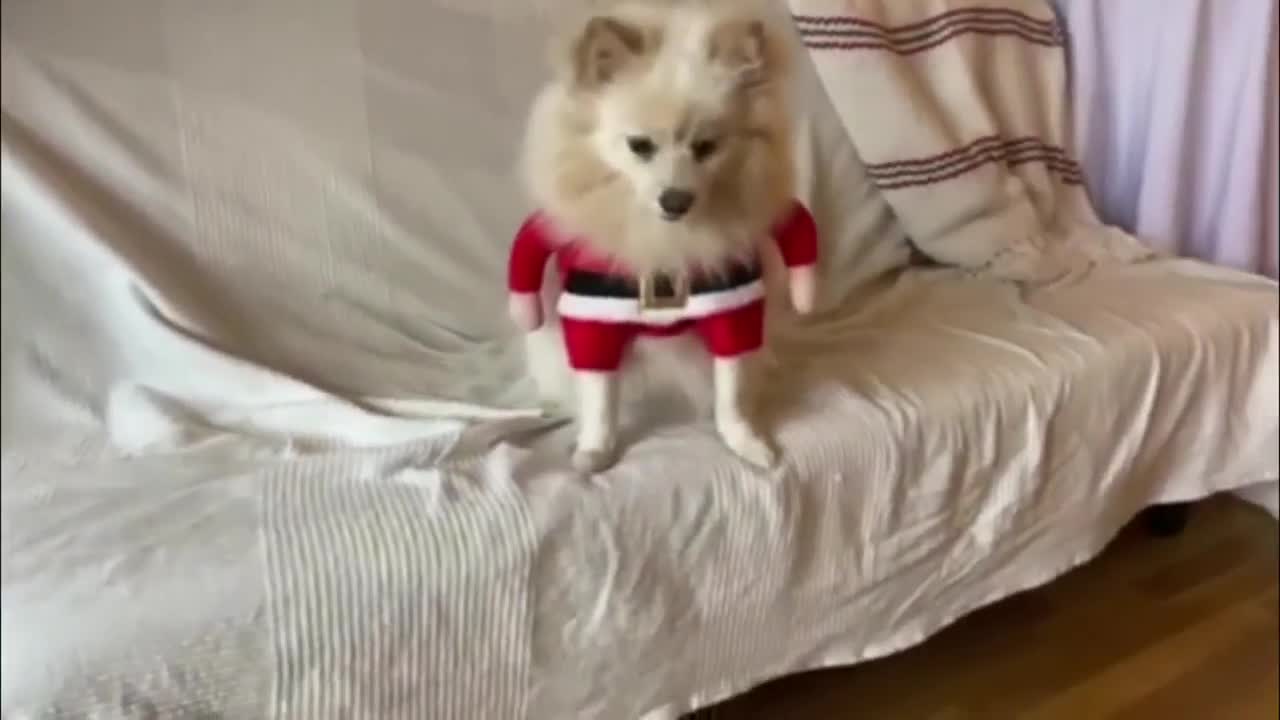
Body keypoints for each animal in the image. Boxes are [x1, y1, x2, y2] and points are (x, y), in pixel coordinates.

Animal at [504, 0, 814, 471]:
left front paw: (745, 441)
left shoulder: (732, 310)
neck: (665, 242)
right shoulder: (594, 318)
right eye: (639, 146)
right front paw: (595, 449)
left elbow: (731, 391)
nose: (675, 200)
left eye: (706, 148)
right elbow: (600, 396)